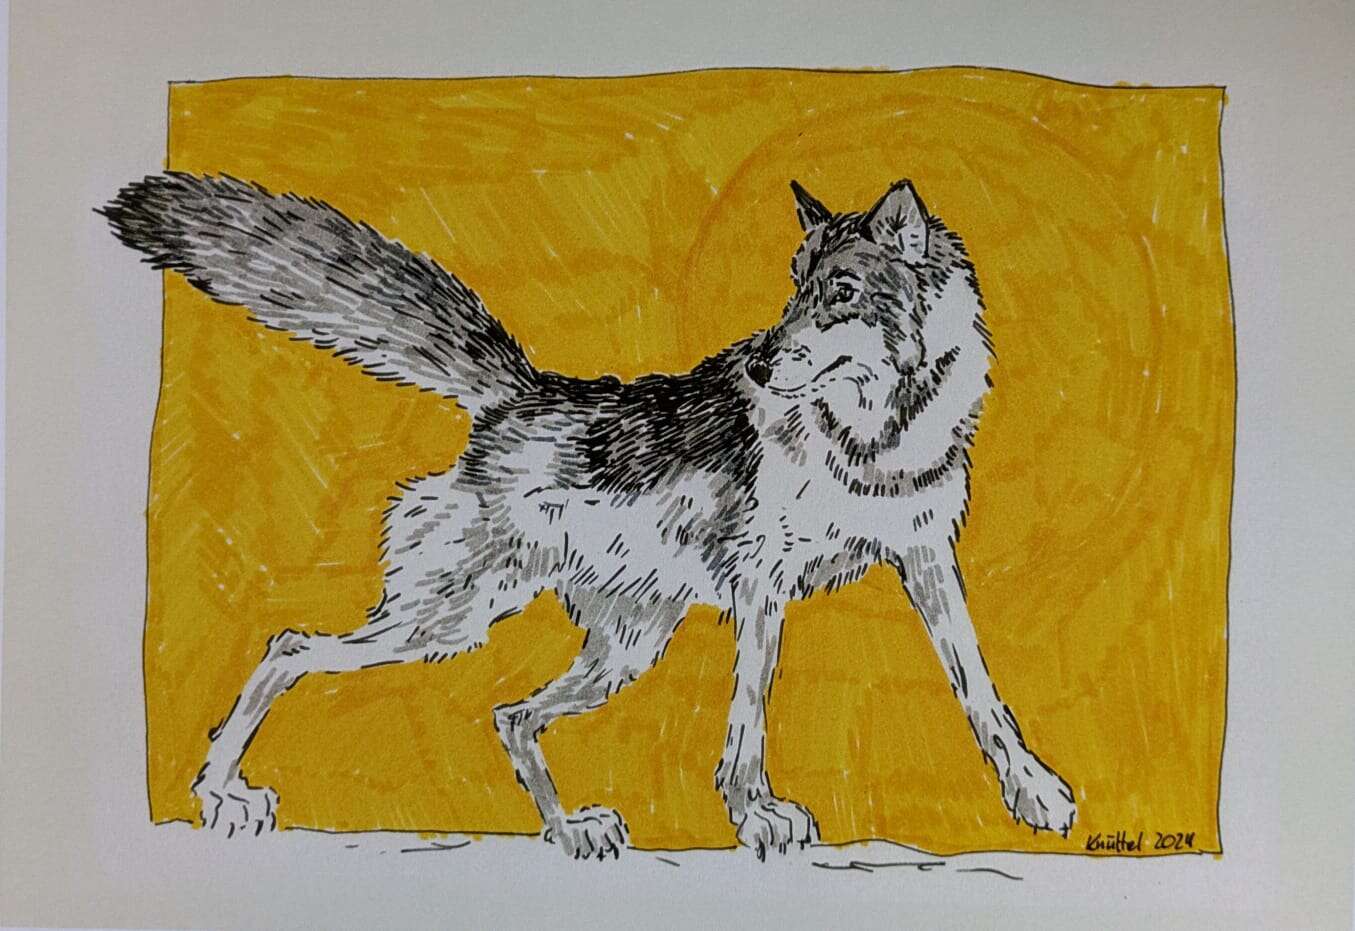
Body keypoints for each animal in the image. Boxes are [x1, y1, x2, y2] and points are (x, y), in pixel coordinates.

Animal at [100, 172, 1076, 858]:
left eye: (840, 292)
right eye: (794, 286)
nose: (760, 365)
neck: (876, 437)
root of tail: (520, 393)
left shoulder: (927, 558)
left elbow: (979, 688)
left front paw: (1031, 790)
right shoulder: (764, 586)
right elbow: (751, 711)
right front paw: (756, 811)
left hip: (620, 650)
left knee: (509, 715)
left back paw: (570, 831)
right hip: (449, 619)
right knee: (290, 647)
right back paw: (222, 792)